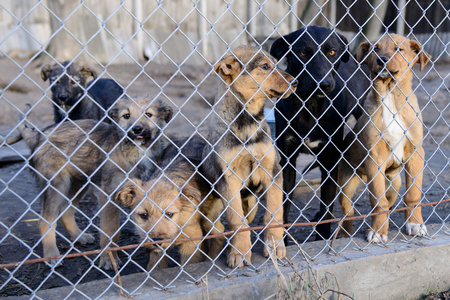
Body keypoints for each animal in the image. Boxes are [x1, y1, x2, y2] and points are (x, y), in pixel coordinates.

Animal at [18, 97, 172, 268]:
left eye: (148, 114)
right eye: (126, 116)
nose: (137, 129)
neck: (138, 151)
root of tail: (39, 135)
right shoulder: (109, 193)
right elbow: (110, 228)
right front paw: (108, 259)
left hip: (78, 183)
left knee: (66, 211)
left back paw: (80, 237)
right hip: (57, 184)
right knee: (46, 219)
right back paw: (52, 254)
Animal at [202, 45, 298, 268]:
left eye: (276, 63)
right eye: (265, 66)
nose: (296, 82)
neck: (248, 122)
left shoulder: (273, 170)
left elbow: (273, 214)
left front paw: (274, 247)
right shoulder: (228, 178)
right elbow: (237, 220)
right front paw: (239, 252)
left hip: (252, 202)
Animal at [270, 26, 370, 241]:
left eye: (331, 52)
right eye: (303, 53)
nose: (323, 84)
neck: (310, 107)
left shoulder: (329, 161)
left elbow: (327, 206)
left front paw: (323, 238)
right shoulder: (288, 161)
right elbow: (284, 207)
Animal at [340, 34, 430, 243]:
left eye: (399, 49)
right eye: (375, 49)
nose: (382, 60)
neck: (390, 95)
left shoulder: (415, 153)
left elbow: (413, 194)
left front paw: (415, 224)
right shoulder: (375, 158)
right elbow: (377, 200)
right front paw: (378, 231)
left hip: (394, 184)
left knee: (389, 202)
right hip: (347, 184)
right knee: (348, 210)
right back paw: (345, 234)